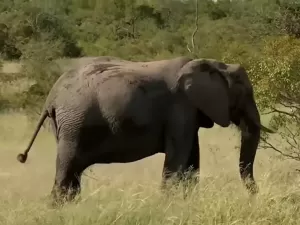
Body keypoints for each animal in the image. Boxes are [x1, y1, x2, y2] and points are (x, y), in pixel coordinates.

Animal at [16, 55, 274, 204]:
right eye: (244, 93)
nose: (256, 196)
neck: (216, 64)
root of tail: (51, 97)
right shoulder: (180, 108)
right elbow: (179, 158)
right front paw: (171, 205)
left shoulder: (187, 112)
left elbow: (192, 159)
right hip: (74, 124)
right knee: (67, 167)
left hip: (69, 125)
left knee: (73, 172)